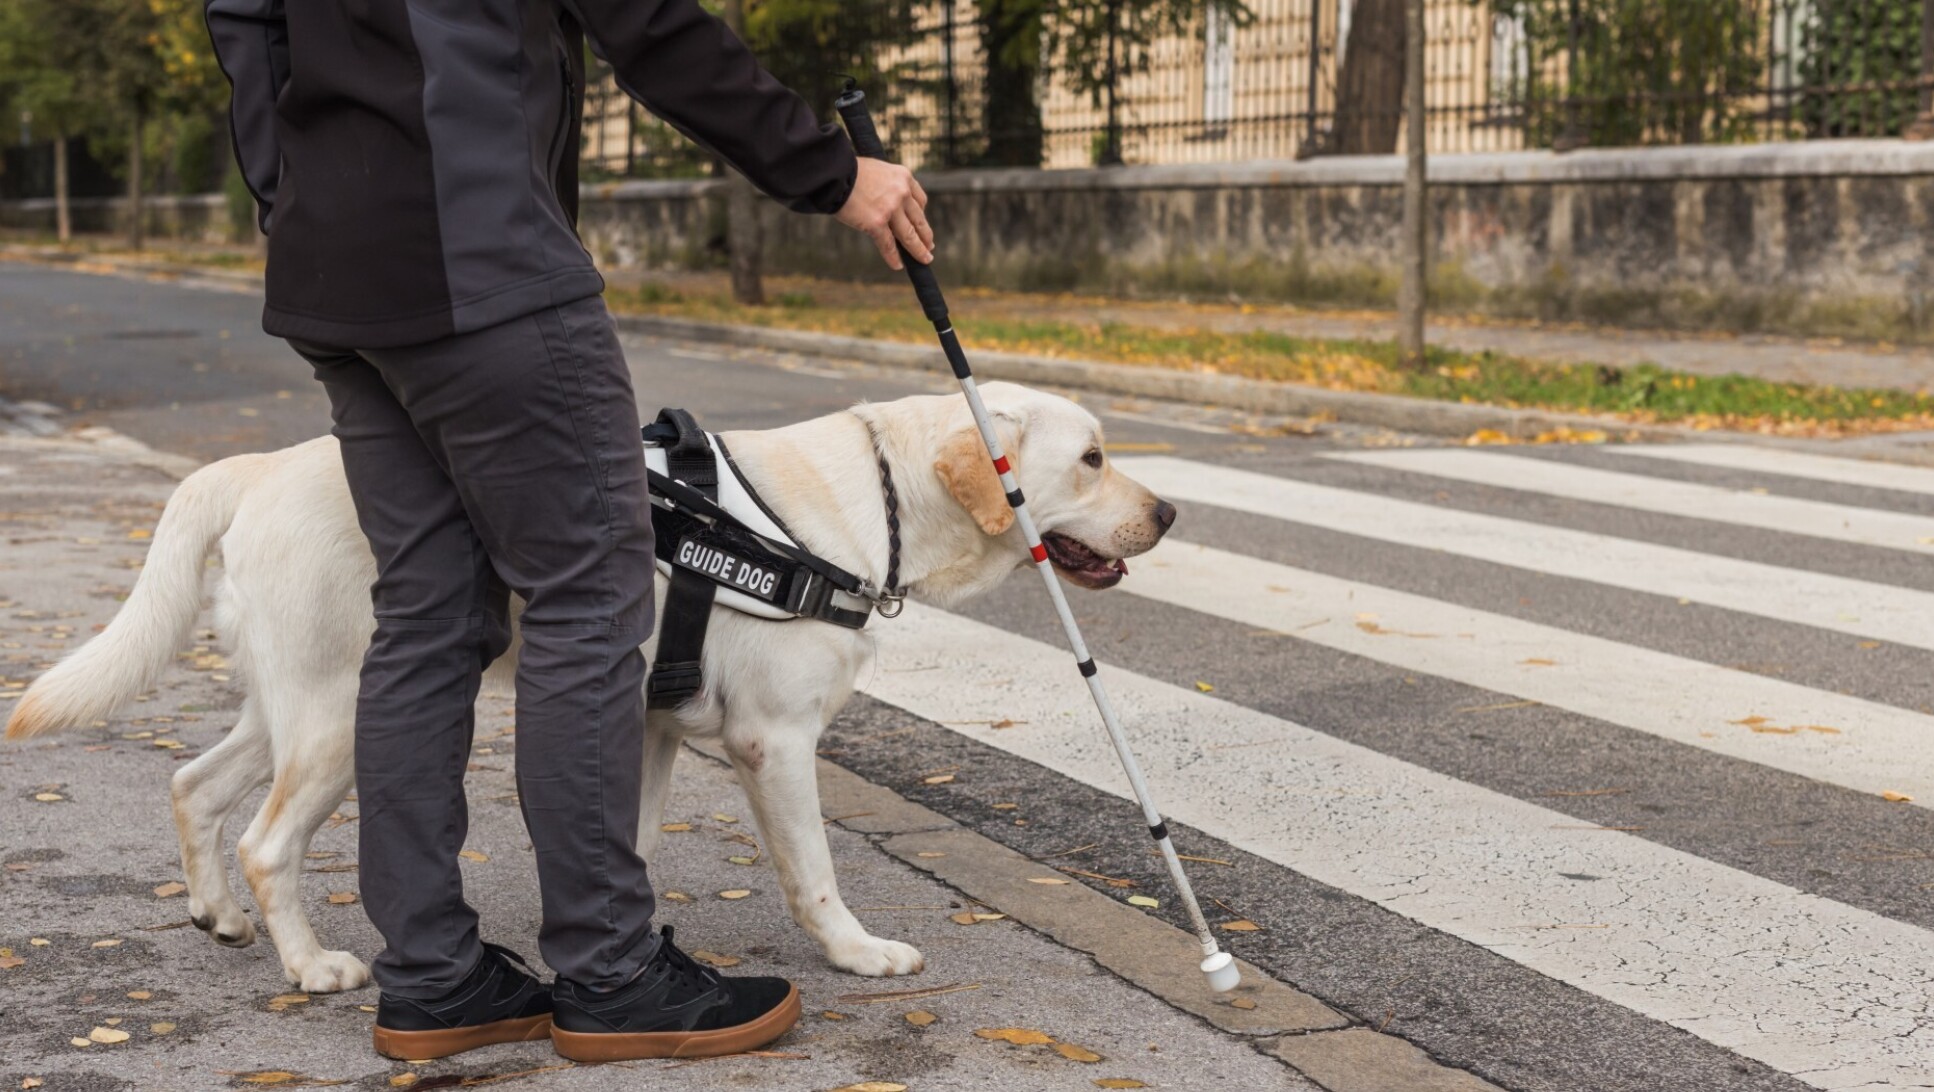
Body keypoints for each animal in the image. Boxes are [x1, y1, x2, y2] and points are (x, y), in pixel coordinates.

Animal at [7, 382, 1168, 997]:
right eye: (1092, 458)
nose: (1167, 514)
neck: (877, 501)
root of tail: (250, 467)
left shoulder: (647, 721)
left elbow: (628, 845)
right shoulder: (776, 743)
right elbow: (814, 875)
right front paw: (855, 953)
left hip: (286, 708)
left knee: (194, 787)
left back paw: (215, 916)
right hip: (338, 722)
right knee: (265, 841)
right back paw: (312, 964)